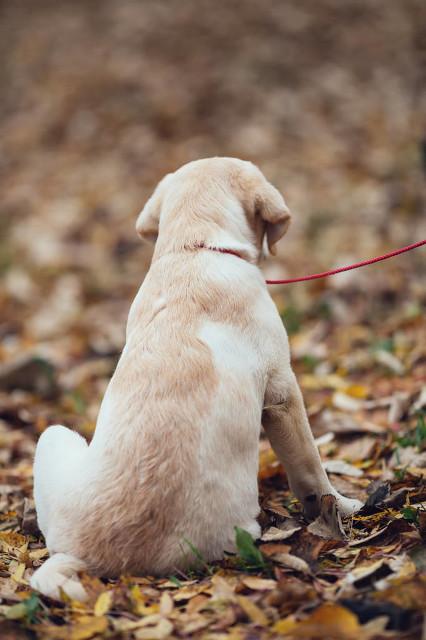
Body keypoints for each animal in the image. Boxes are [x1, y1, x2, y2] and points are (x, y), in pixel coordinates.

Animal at [30, 156, 362, 600]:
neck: (192, 249)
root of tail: (87, 558)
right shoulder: (282, 393)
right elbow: (311, 470)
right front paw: (342, 506)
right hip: (57, 435)